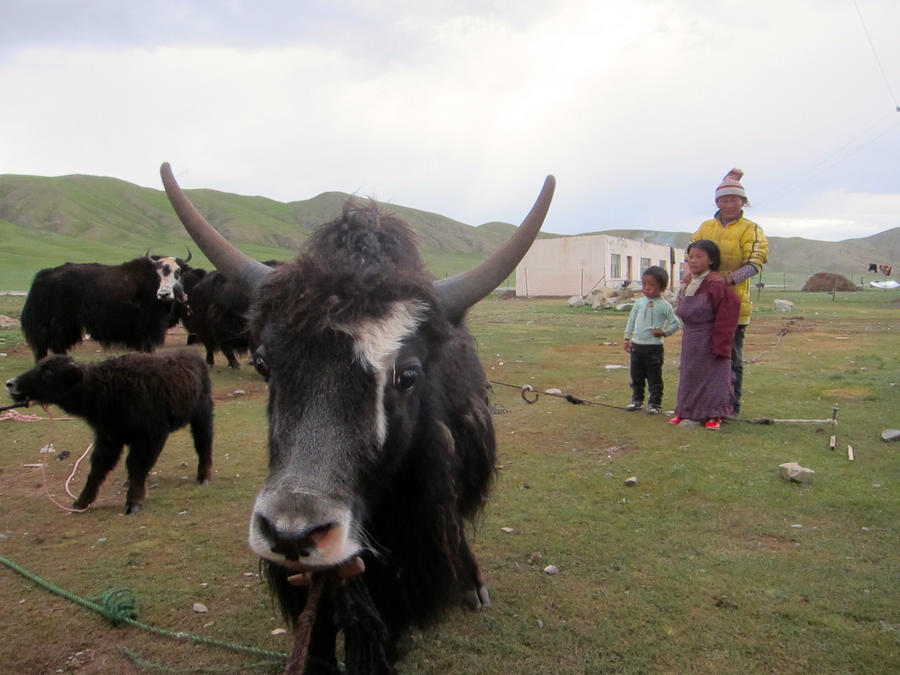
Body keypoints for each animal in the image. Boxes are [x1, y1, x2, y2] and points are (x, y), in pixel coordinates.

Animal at [7, 348, 214, 512]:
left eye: (48, 373)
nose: (10, 383)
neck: (106, 387)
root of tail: (193, 355)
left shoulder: (150, 436)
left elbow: (136, 465)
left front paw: (134, 502)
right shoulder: (109, 438)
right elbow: (98, 468)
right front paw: (81, 502)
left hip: (202, 416)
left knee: (203, 443)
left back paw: (204, 476)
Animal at [19, 254, 188, 362]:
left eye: (178, 272)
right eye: (157, 274)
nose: (164, 294)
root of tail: (45, 275)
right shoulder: (147, 325)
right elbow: (147, 345)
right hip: (58, 322)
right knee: (48, 343)